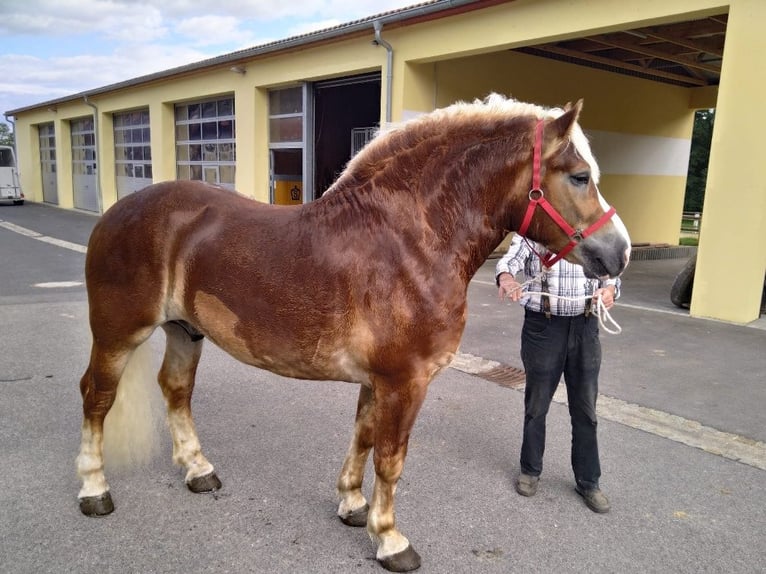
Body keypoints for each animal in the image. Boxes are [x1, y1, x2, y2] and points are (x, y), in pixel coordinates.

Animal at [76, 94, 631, 572]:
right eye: (580, 176)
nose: (619, 253)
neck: (410, 242)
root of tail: (115, 213)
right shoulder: (405, 382)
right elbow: (390, 459)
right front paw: (390, 539)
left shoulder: (377, 381)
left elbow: (363, 438)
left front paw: (352, 506)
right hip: (118, 334)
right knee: (96, 397)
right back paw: (94, 490)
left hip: (184, 330)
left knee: (175, 389)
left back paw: (198, 470)